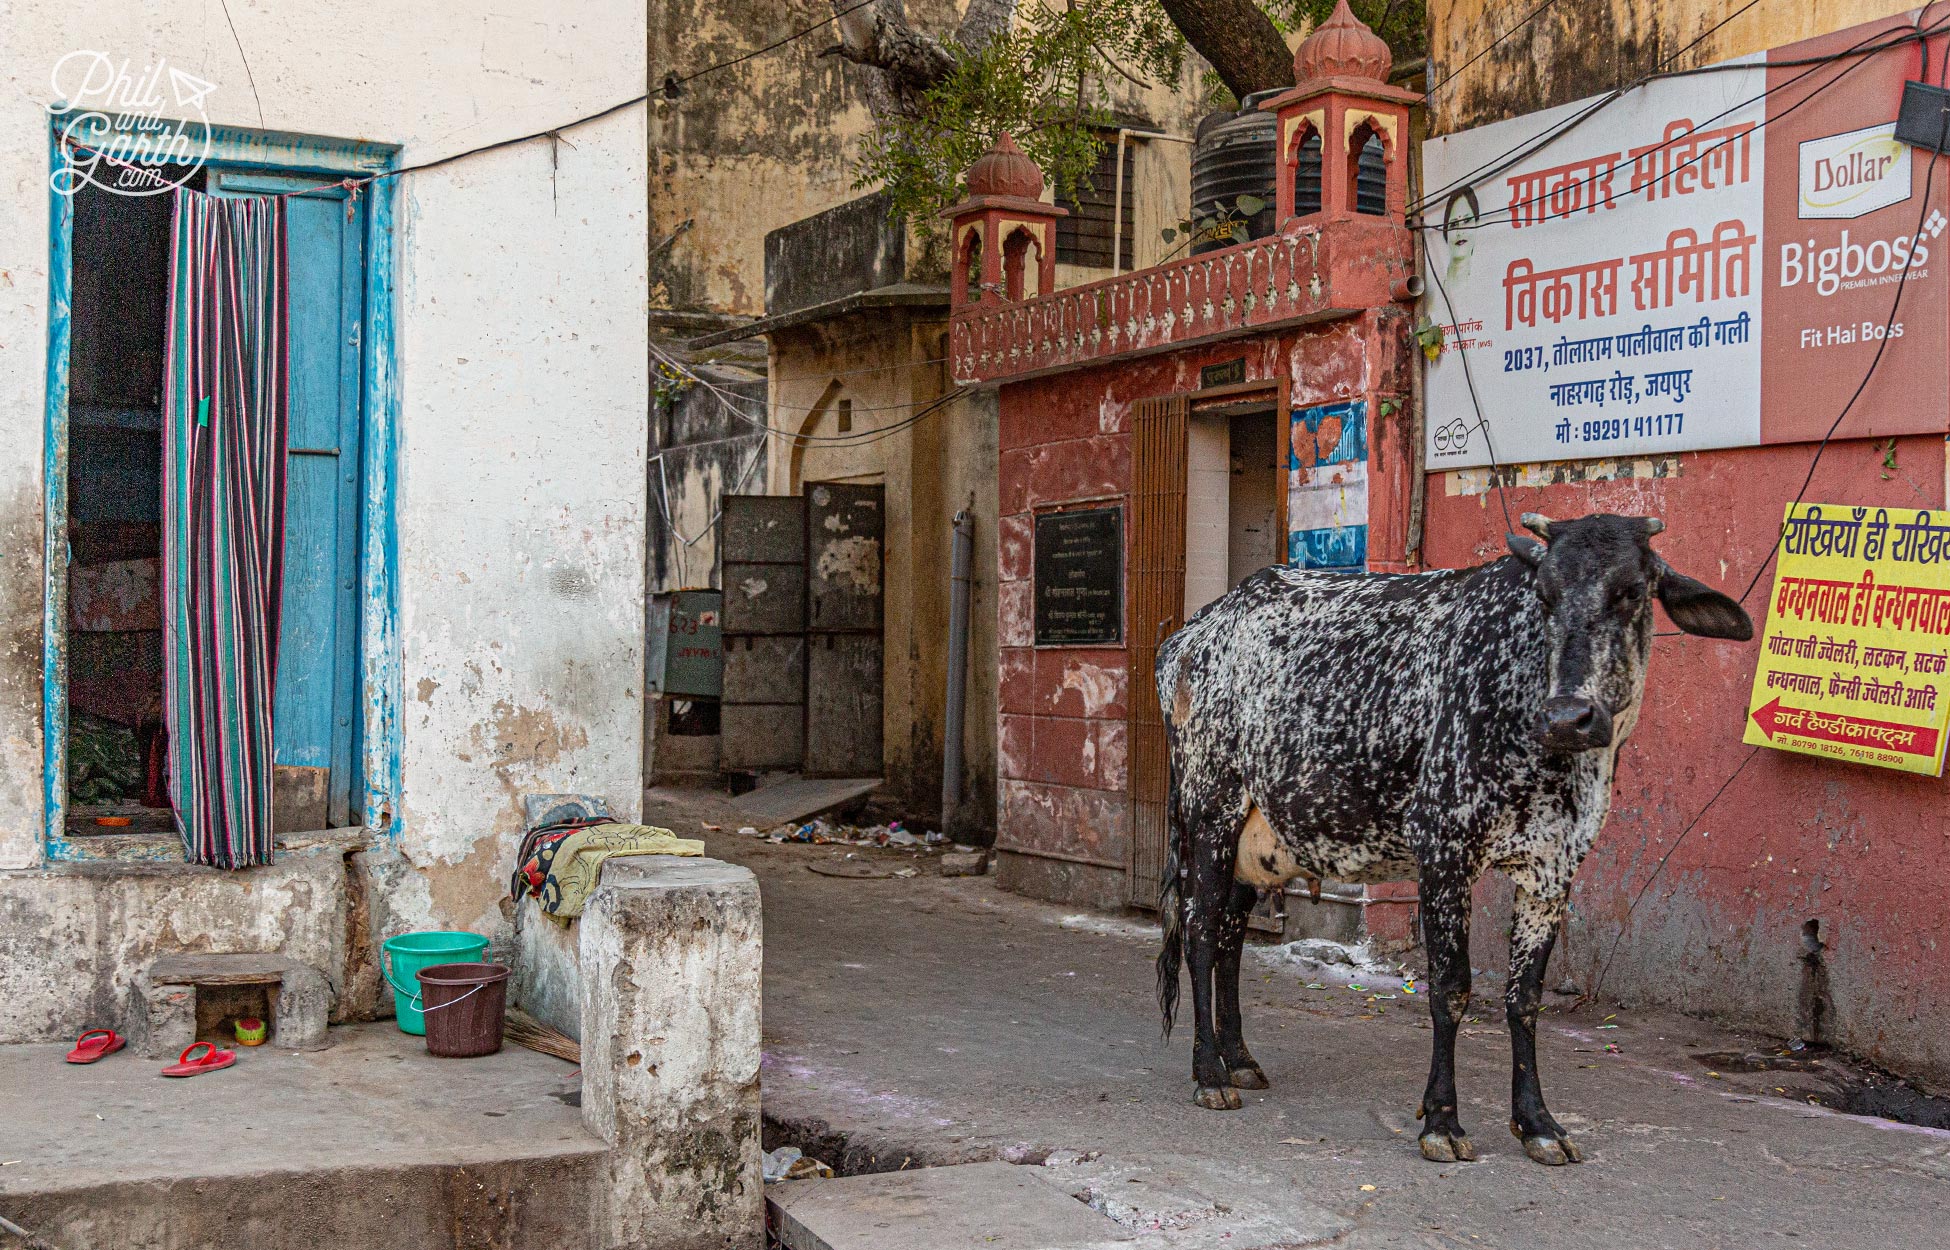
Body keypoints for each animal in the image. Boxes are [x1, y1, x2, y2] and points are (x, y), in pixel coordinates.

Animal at [1154, 507, 1755, 1162]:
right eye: (1544, 595)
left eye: (1631, 593)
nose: (1568, 717)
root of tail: (1190, 634)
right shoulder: (1444, 847)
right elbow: (1451, 987)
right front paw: (1442, 1120)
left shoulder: (1555, 869)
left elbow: (1524, 997)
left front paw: (1538, 1122)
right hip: (1209, 811)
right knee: (1201, 932)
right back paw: (1210, 1073)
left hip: (1257, 841)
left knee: (1231, 936)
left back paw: (1239, 1059)